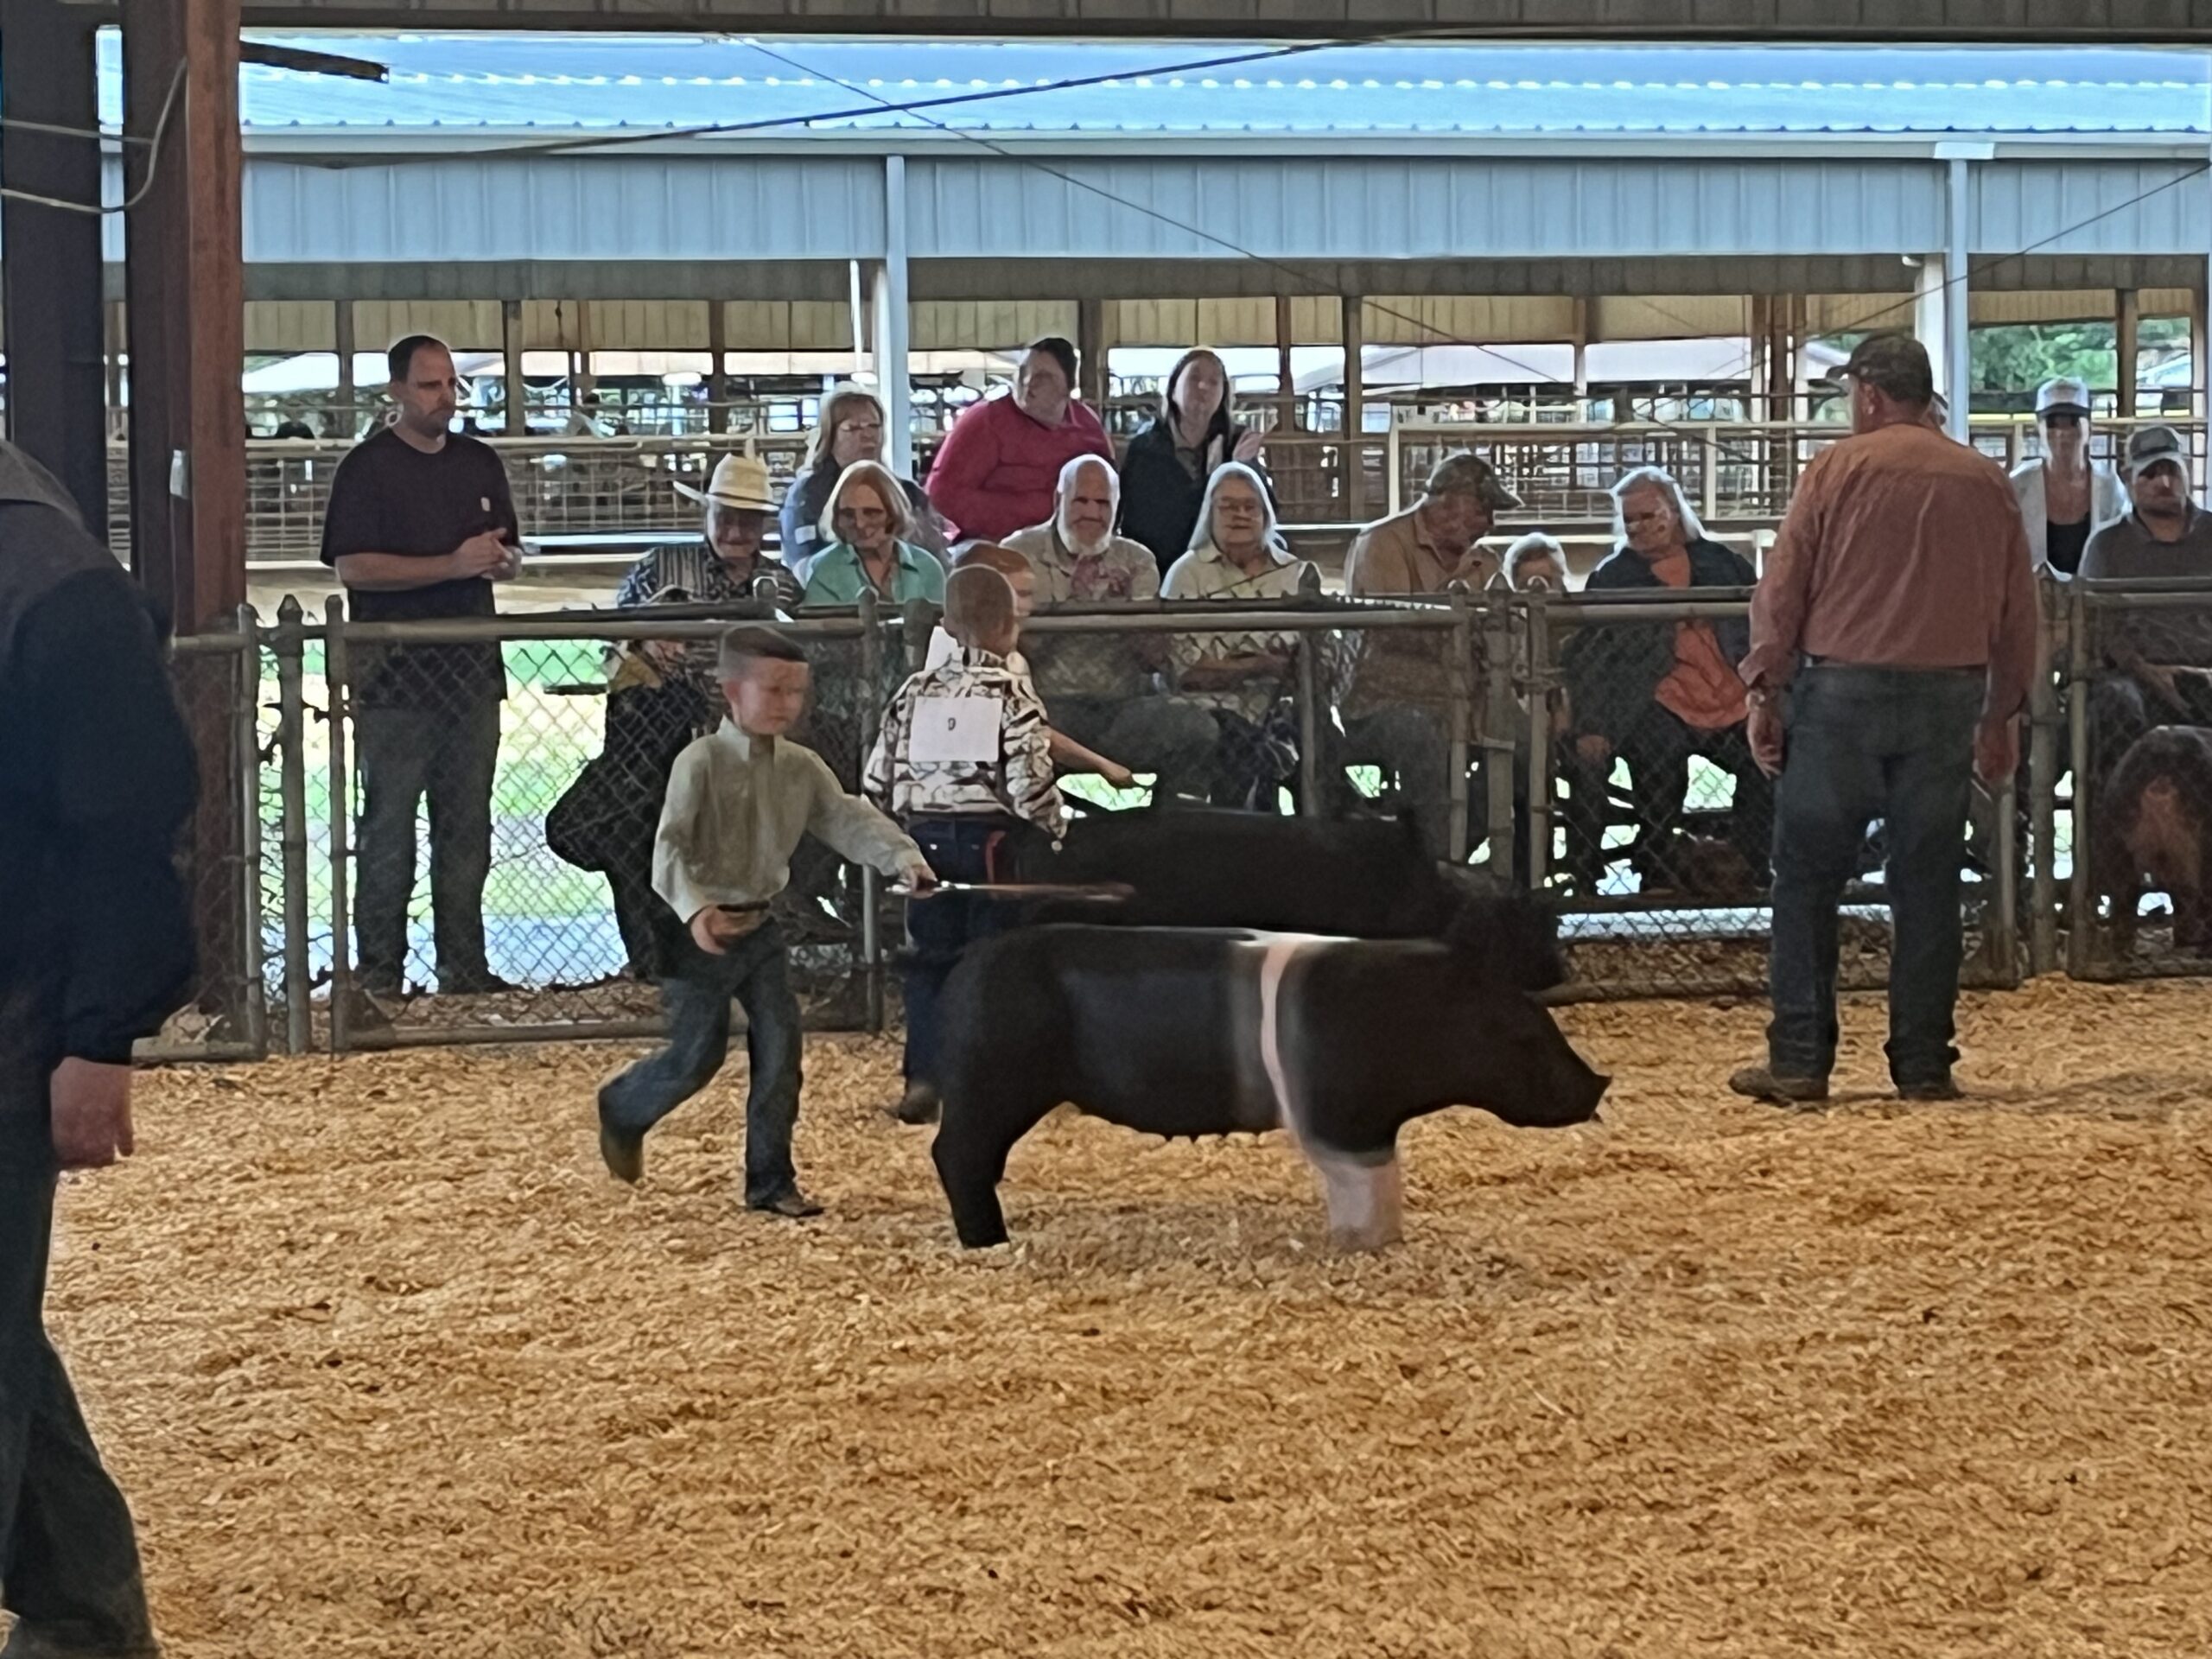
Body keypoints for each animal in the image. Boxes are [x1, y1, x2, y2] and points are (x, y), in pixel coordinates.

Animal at [929, 924, 1609, 1251]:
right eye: (1520, 1036)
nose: (1602, 1083)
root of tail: (965, 965)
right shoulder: (1342, 1116)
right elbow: (1365, 1181)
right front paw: (1365, 1243)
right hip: (993, 1079)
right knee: (954, 1152)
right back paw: (991, 1242)